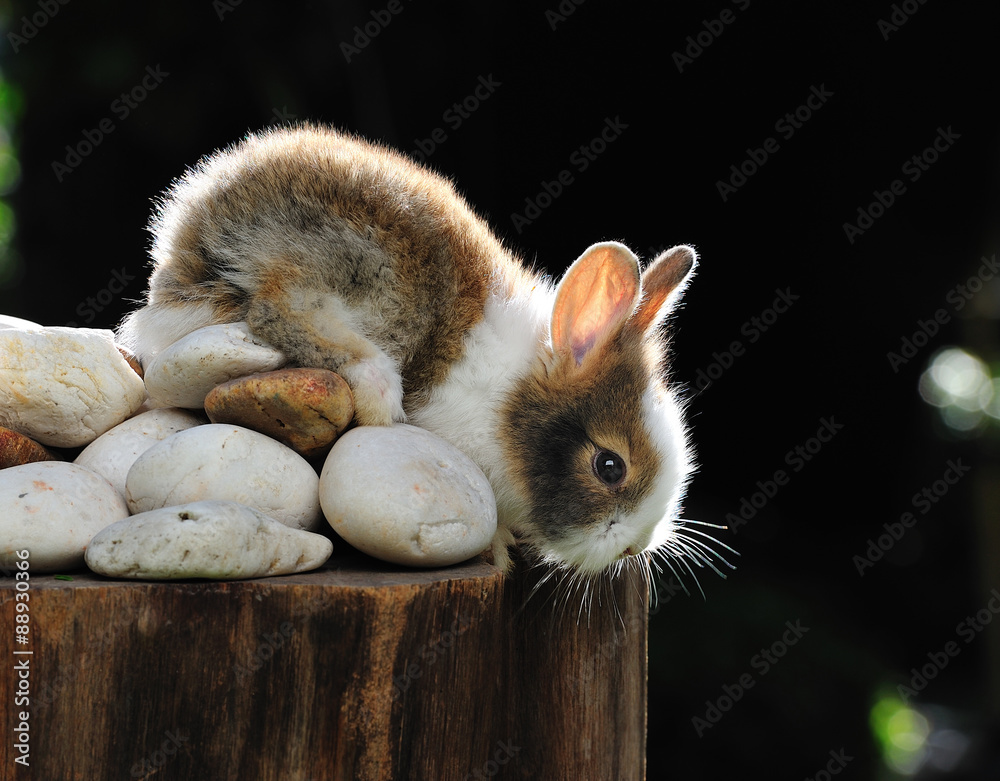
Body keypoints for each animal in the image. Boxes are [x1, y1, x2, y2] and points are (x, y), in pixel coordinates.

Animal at [118, 123, 709, 578]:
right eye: (610, 466)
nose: (634, 547)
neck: (507, 399)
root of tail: (192, 232)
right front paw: (497, 549)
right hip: (354, 270)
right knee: (280, 308)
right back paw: (377, 389)